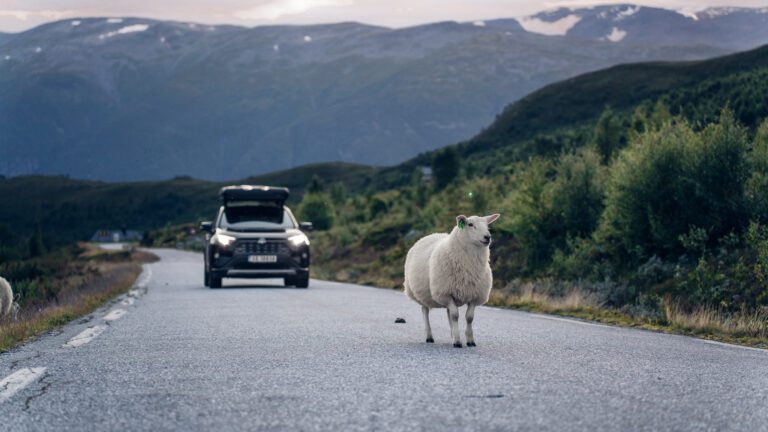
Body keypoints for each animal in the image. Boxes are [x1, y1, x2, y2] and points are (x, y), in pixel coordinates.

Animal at [404, 213, 500, 348]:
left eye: (487, 225)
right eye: (470, 224)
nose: (487, 237)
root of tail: (432, 234)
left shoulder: (475, 295)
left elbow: (469, 317)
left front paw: (470, 341)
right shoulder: (445, 293)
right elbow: (455, 316)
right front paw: (458, 342)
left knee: (447, 313)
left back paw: (451, 335)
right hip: (422, 293)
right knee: (425, 311)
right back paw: (429, 336)